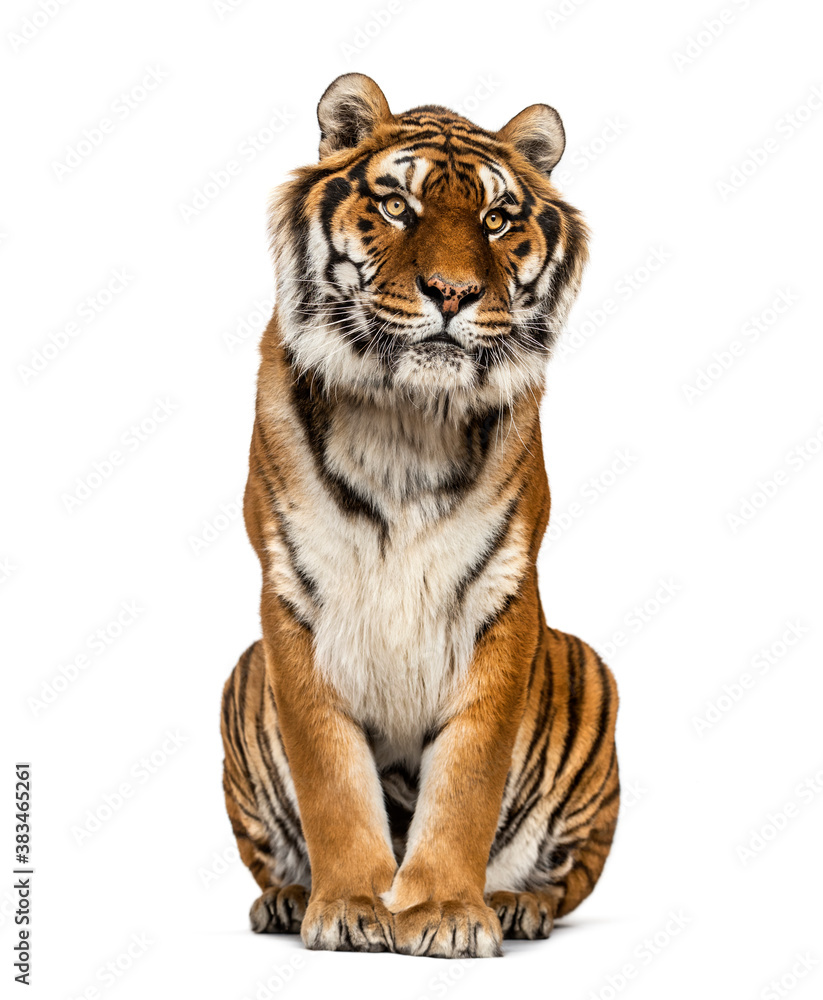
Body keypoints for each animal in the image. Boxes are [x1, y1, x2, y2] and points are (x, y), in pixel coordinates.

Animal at [220, 73, 619, 959]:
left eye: (496, 220)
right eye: (398, 206)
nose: (453, 293)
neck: (405, 420)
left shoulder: (501, 595)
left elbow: (467, 778)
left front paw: (442, 910)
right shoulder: (293, 597)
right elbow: (330, 776)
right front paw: (349, 906)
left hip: (589, 673)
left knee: (568, 875)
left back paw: (514, 904)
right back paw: (287, 899)